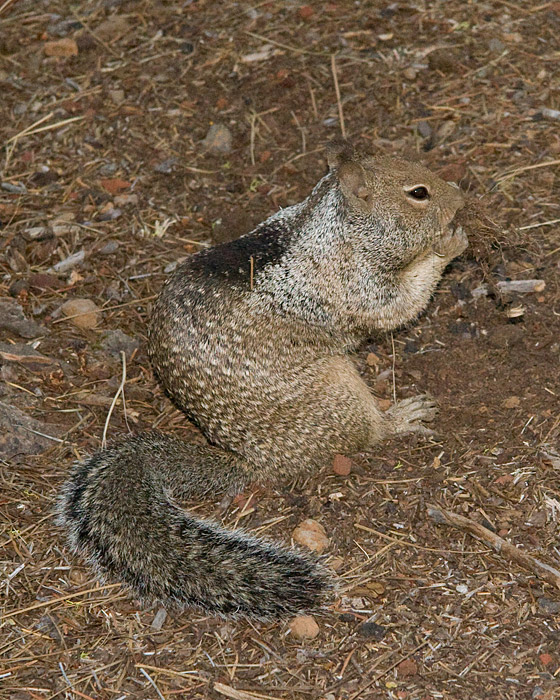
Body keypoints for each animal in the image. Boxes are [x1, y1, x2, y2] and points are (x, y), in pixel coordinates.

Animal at [58, 139, 468, 620]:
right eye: (418, 193)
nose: (461, 197)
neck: (333, 228)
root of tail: (251, 459)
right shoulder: (357, 285)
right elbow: (400, 304)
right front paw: (449, 245)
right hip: (336, 390)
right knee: (365, 435)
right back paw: (400, 417)